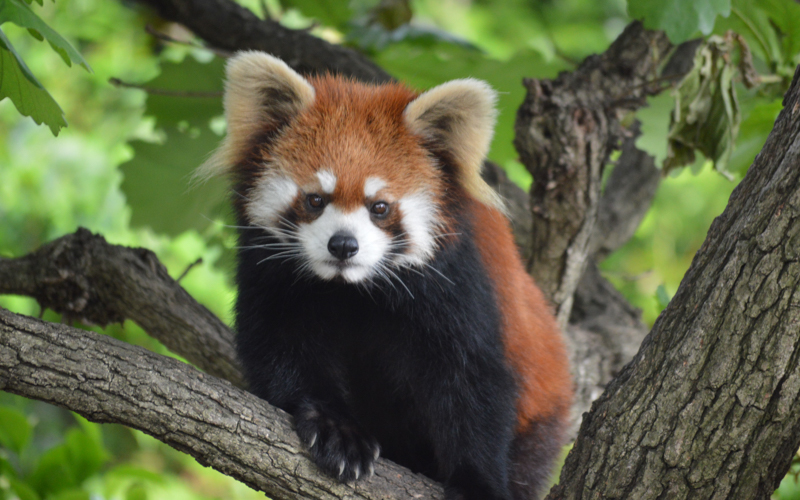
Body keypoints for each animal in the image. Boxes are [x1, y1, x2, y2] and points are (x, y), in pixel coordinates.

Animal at [200, 51, 576, 500]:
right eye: (315, 200)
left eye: (379, 207)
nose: (343, 245)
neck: (353, 289)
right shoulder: (274, 275)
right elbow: (283, 346)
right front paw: (336, 429)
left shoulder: (457, 283)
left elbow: (473, 381)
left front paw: (477, 481)